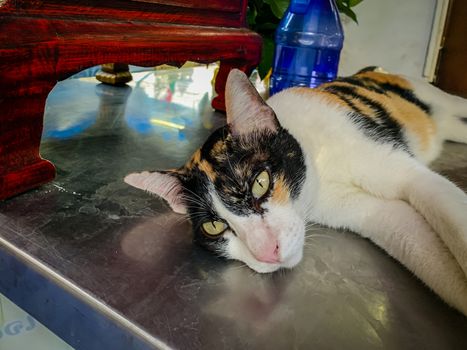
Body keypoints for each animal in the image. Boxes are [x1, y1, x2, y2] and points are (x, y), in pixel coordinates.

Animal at [124, 67, 467, 314]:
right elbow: (424, 251)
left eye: (260, 183)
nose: (266, 252)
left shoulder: (405, 172)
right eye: (214, 226)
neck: (320, 164)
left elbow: (452, 217)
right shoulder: (372, 214)